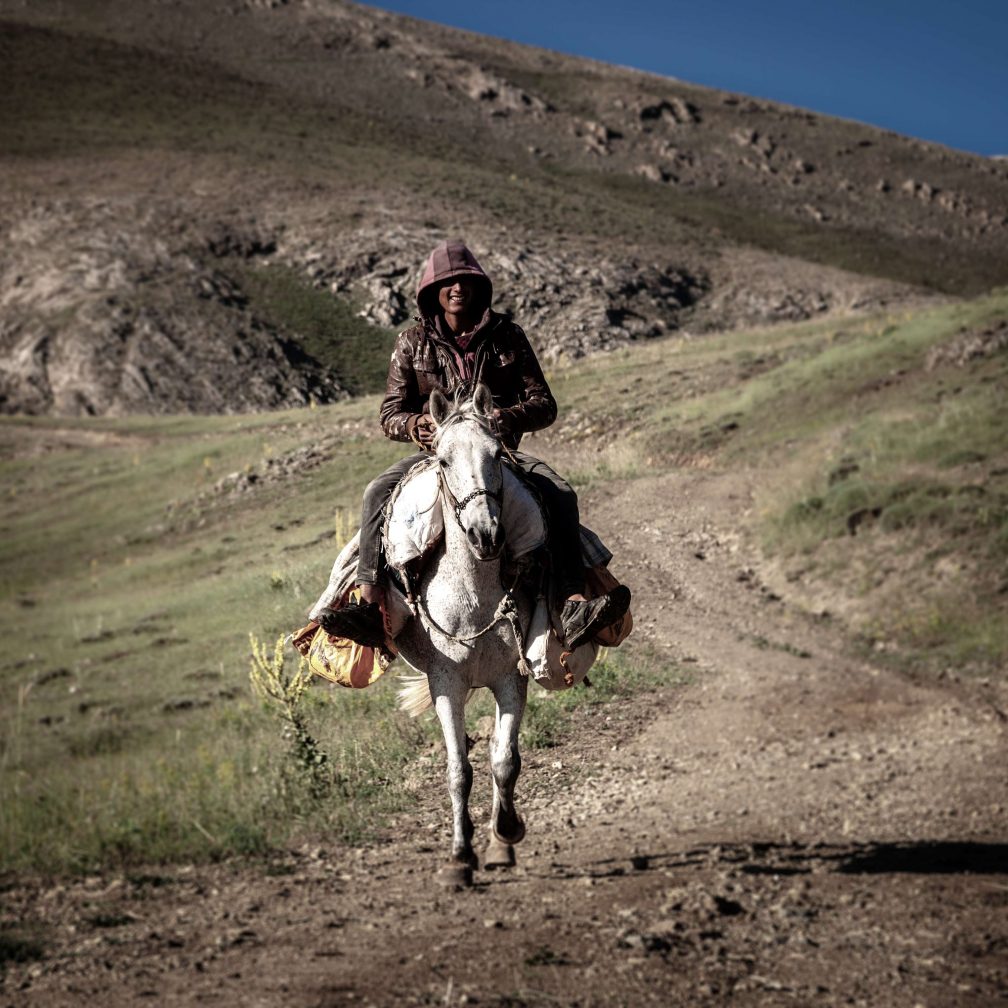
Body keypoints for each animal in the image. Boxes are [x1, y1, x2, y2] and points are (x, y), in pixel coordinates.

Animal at [393, 381, 536, 887]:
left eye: (496, 453)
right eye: (442, 460)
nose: (485, 535)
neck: (474, 600)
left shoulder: (511, 678)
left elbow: (504, 761)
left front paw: (504, 835)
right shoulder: (447, 685)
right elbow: (459, 770)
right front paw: (459, 857)